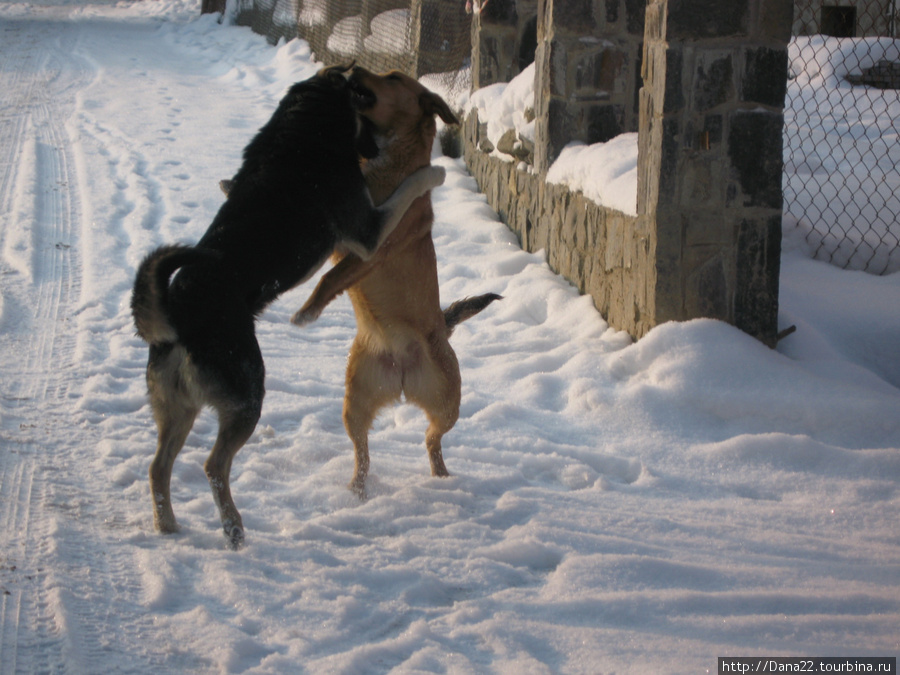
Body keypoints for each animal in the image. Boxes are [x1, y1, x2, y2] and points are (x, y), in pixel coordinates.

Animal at [131, 64, 446, 548]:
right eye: (364, 122)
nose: (373, 151)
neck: (301, 124)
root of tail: (179, 319)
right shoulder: (367, 231)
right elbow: (411, 185)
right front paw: (436, 172)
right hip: (247, 394)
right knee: (213, 466)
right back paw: (234, 529)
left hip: (177, 408)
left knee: (157, 467)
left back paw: (168, 526)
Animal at [296, 67, 502, 496]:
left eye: (392, 76)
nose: (353, 68)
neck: (389, 163)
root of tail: (403, 372)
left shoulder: (371, 245)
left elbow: (330, 277)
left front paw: (309, 310)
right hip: (356, 402)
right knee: (363, 453)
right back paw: (357, 491)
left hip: (447, 403)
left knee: (431, 439)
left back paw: (439, 476)